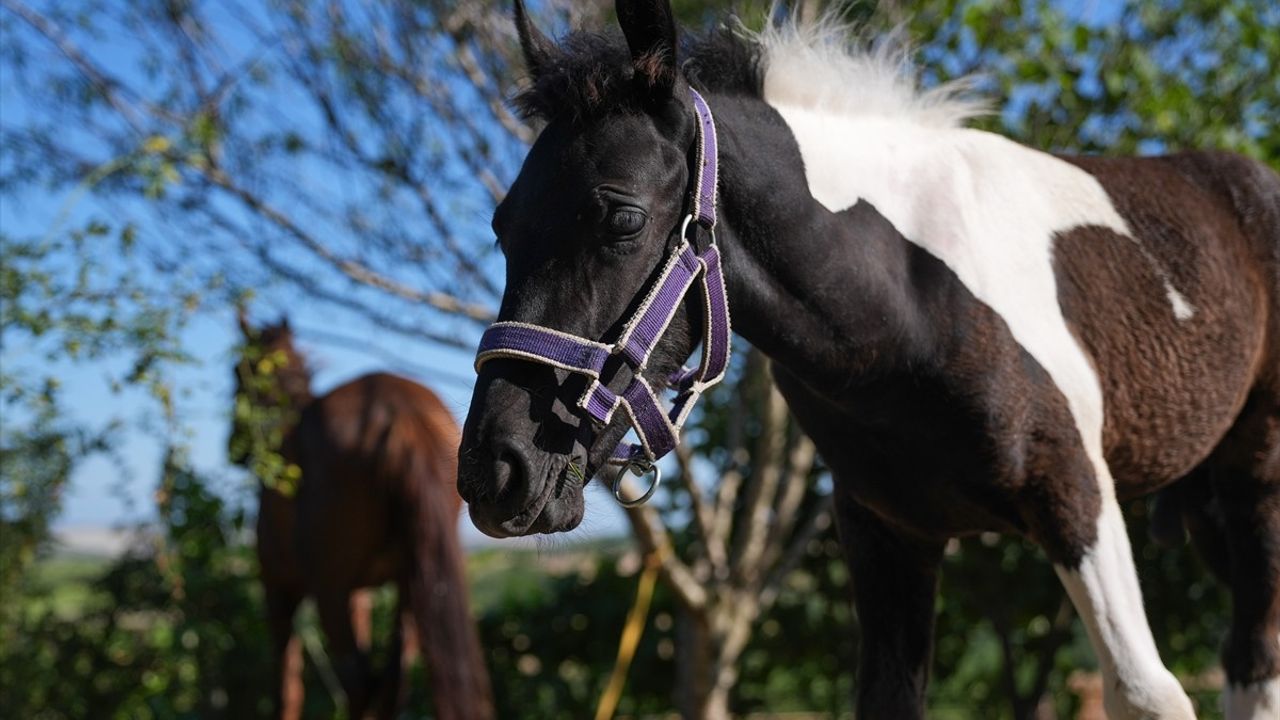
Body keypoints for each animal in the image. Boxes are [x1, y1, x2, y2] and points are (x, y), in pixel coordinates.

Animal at [230, 316, 488, 717]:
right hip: (412, 582)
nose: (234, 448)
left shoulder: (279, 591)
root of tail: (397, 412)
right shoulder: (360, 596)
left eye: (237, 371)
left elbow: (286, 686)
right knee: (392, 679)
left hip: (329, 590)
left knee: (359, 681)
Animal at [458, 2, 1280, 712]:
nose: (494, 472)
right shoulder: (889, 538)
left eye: (623, 217)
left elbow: (1149, 693)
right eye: (501, 226)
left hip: (1255, 486)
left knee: (1252, 663)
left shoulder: (1078, 497)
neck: (908, 310)